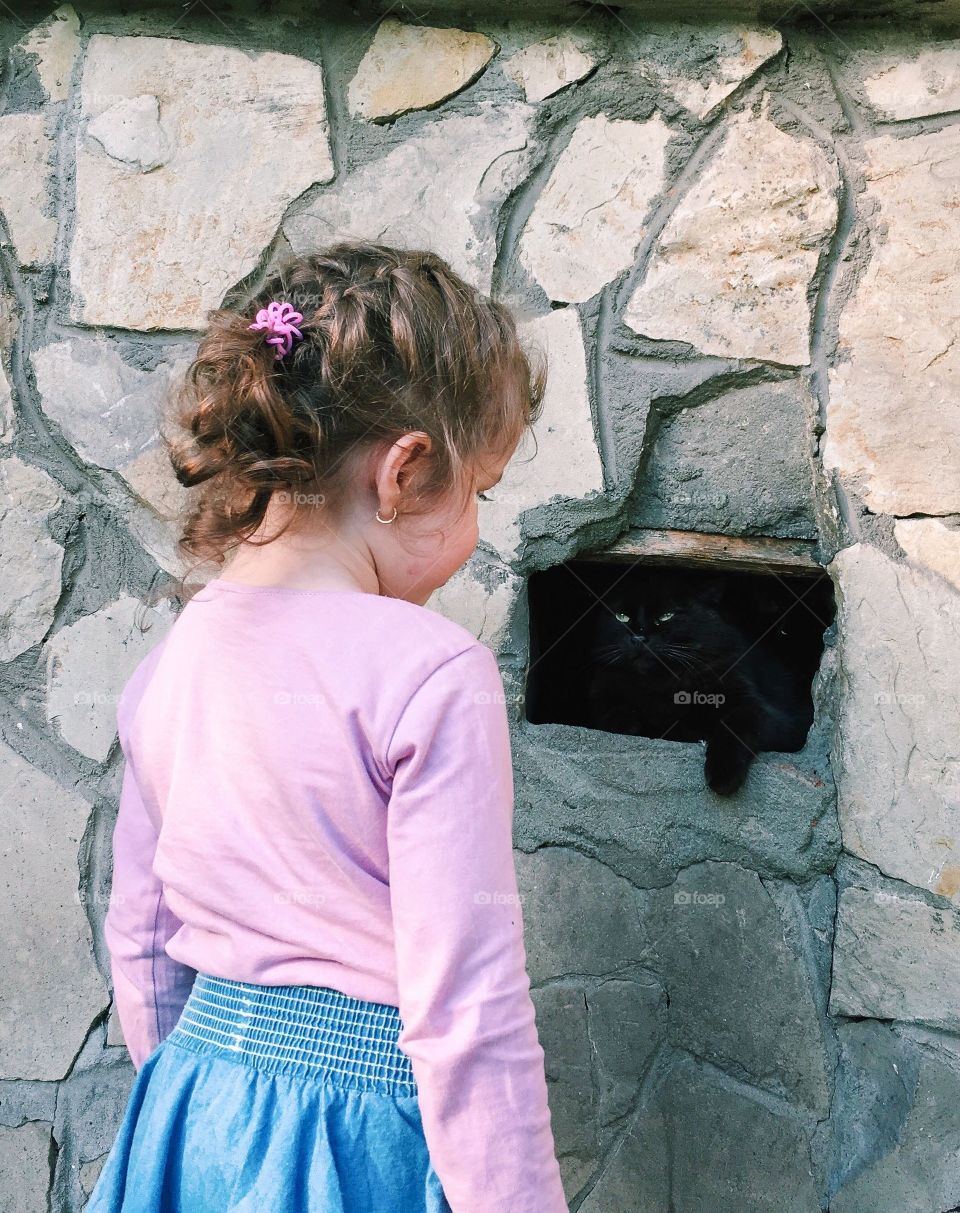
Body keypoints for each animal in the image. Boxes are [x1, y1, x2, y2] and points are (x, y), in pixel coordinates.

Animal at [582, 570, 815, 795]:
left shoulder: (761, 710)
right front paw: (630, 722)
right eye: (622, 617)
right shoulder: (602, 691)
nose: (638, 639)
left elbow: (735, 726)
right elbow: (613, 711)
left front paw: (723, 776)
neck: (661, 684)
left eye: (666, 616)